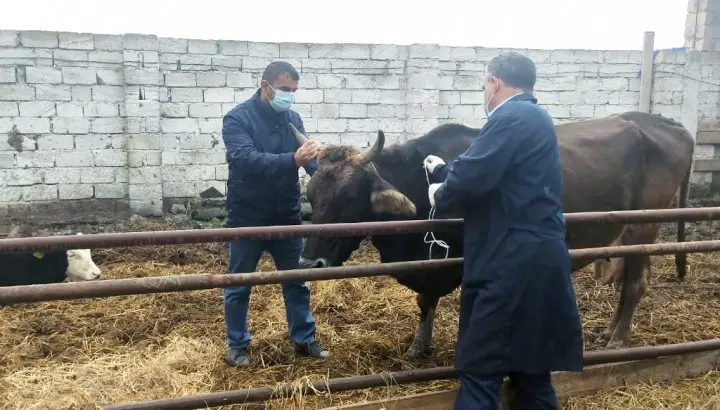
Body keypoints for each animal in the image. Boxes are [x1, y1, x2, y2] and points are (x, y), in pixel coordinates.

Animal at [296, 109, 696, 356]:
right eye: (312, 195)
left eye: (349, 198)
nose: (310, 262)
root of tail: (664, 122)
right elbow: (425, 303)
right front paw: (419, 346)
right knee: (628, 281)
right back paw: (609, 332)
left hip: (644, 225)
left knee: (635, 284)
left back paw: (618, 341)